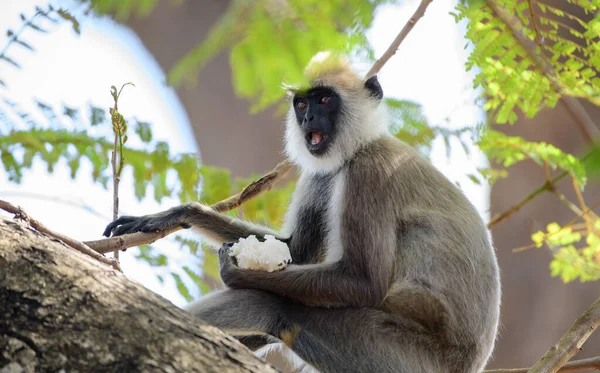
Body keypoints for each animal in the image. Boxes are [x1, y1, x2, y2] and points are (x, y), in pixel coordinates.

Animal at [103, 51, 502, 372]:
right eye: (301, 104)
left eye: (324, 100)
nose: (309, 118)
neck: (361, 145)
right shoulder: (324, 172)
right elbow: (294, 250)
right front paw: (178, 214)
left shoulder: (368, 173)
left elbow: (364, 282)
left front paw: (235, 272)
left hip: (394, 355)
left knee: (272, 306)